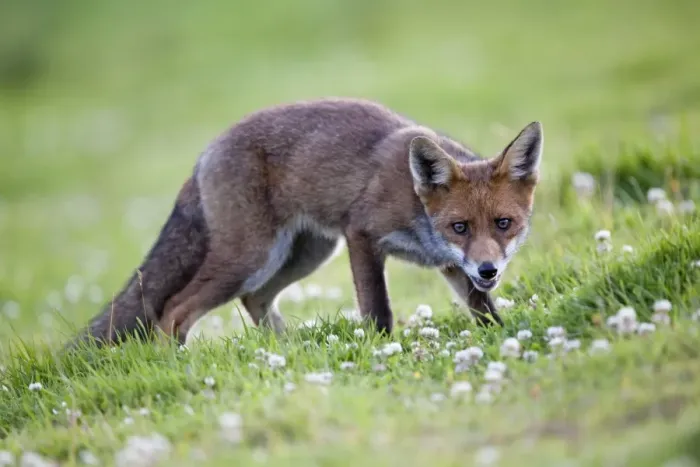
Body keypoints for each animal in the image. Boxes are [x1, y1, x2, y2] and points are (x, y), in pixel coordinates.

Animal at [70, 97, 543, 348]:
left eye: (504, 223)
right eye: (460, 227)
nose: (489, 269)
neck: (416, 204)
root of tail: (204, 154)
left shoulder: (451, 266)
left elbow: (484, 310)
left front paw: (502, 338)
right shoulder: (361, 234)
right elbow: (378, 308)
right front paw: (380, 349)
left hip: (304, 254)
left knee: (255, 300)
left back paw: (287, 349)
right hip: (251, 257)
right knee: (173, 311)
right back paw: (182, 363)